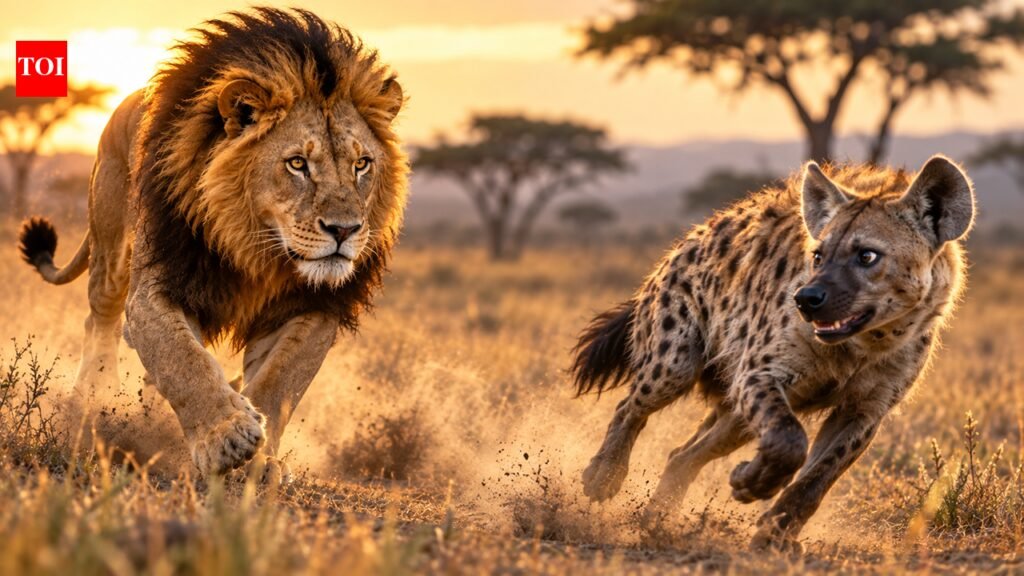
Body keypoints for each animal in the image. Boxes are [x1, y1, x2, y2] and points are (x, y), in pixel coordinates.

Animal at [18, 8, 408, 481]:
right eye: (297, 163)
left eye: (362, 164)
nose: (345, 230)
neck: (258, 250)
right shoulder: (158, 286)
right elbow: (183, 360)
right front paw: (226, 437)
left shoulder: (312, 306)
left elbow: (279, 382)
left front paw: (262, 461)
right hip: (110, 252)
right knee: (100, 323)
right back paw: (94, 403)